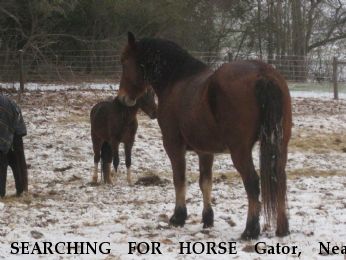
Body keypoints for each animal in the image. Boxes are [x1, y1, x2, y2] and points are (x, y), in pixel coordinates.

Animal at [117, 33, 292, 240]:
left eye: (124, 62)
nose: (122, 98)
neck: (176, 80)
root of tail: (262, 73)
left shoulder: (173, 145)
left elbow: (179, 179)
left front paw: (178, 217)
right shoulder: (205, 151)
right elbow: (205, 183)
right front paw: (207, 219)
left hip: (240, 151)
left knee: (252, 182)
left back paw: (250, 230)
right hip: (281, 146)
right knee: (279, 179)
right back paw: (282, 229)